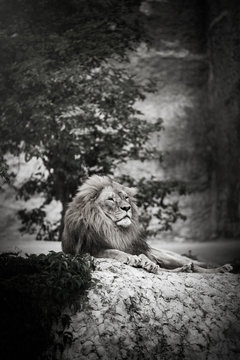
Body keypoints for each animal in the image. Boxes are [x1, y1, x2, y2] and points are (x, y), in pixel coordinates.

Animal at [61, 174, 232, 272]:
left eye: (126, 198)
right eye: (110, 199)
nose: (126, 208)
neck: (111, 228)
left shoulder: (137, 247)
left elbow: (140, 254)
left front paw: (144, 261)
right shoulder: (87, 250)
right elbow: (112, 251)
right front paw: (132, 259)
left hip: (167, 256)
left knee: (196, 264)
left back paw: (220, 268)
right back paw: (188, 269)